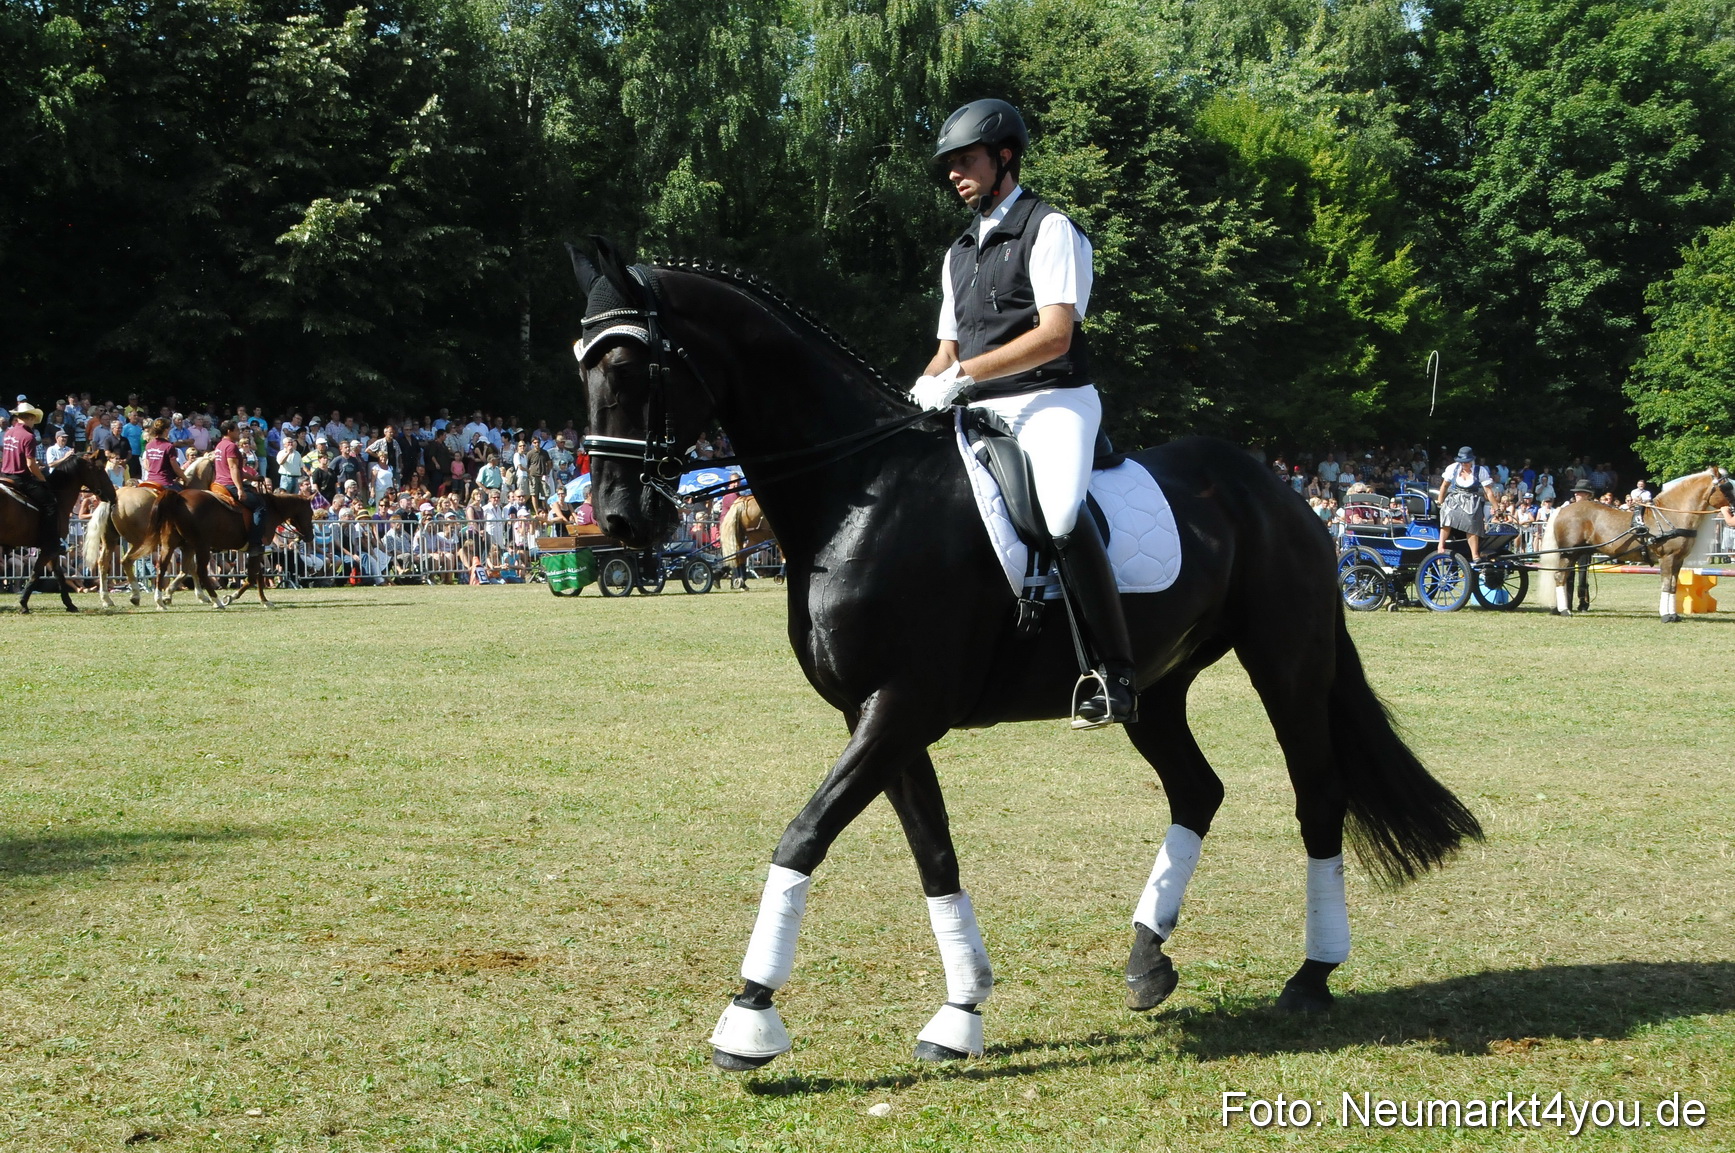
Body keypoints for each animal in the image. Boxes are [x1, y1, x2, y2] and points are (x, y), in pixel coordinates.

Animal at [0, 451, 117, 613]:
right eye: (99, 469)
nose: (113, 495)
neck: (57, 496)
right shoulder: (49, 548)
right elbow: (36, 573)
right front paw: (23, 603)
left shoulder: (53, 550)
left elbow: (59, 575)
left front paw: (69, 604)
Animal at [146, 488, 315, 609]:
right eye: (311, 512)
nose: (310, 536)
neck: (272, 509)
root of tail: (179, 497)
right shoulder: (258, 550)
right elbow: (252, 577)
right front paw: (231, 597)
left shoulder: (256, 550)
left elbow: (258, 575)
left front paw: (265, 601)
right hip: (201, 546)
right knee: (201, 571)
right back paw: (216, 601)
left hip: (174, 545)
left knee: (164, 568)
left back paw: (160, 600)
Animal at [570, 243, 1483, 1071]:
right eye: (585, 367)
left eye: (634, 367)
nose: (618, 519)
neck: (862, 490)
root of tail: (1280, 492)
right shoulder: (879, 715)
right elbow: (933, 853)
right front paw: (960, 1012)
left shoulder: (900, 707)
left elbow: (801, 837)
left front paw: (749, 1016)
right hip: (1153, 687)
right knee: (1197, 789)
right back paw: (1147, 960)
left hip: (1285, 664)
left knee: (1317, 795)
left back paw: (1311, 973)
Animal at [1538, 468, 1734, 621]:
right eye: (1726, 487)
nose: (1732, 510)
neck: (1670, 515)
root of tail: (1562, 509)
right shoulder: (1667, 558)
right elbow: (1665, 584)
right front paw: (1665, 615)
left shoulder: (1678, 559)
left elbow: (1673, 586)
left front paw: (1674, 615)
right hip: (1569, 553)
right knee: (1560, 577)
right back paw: (1565, 610)